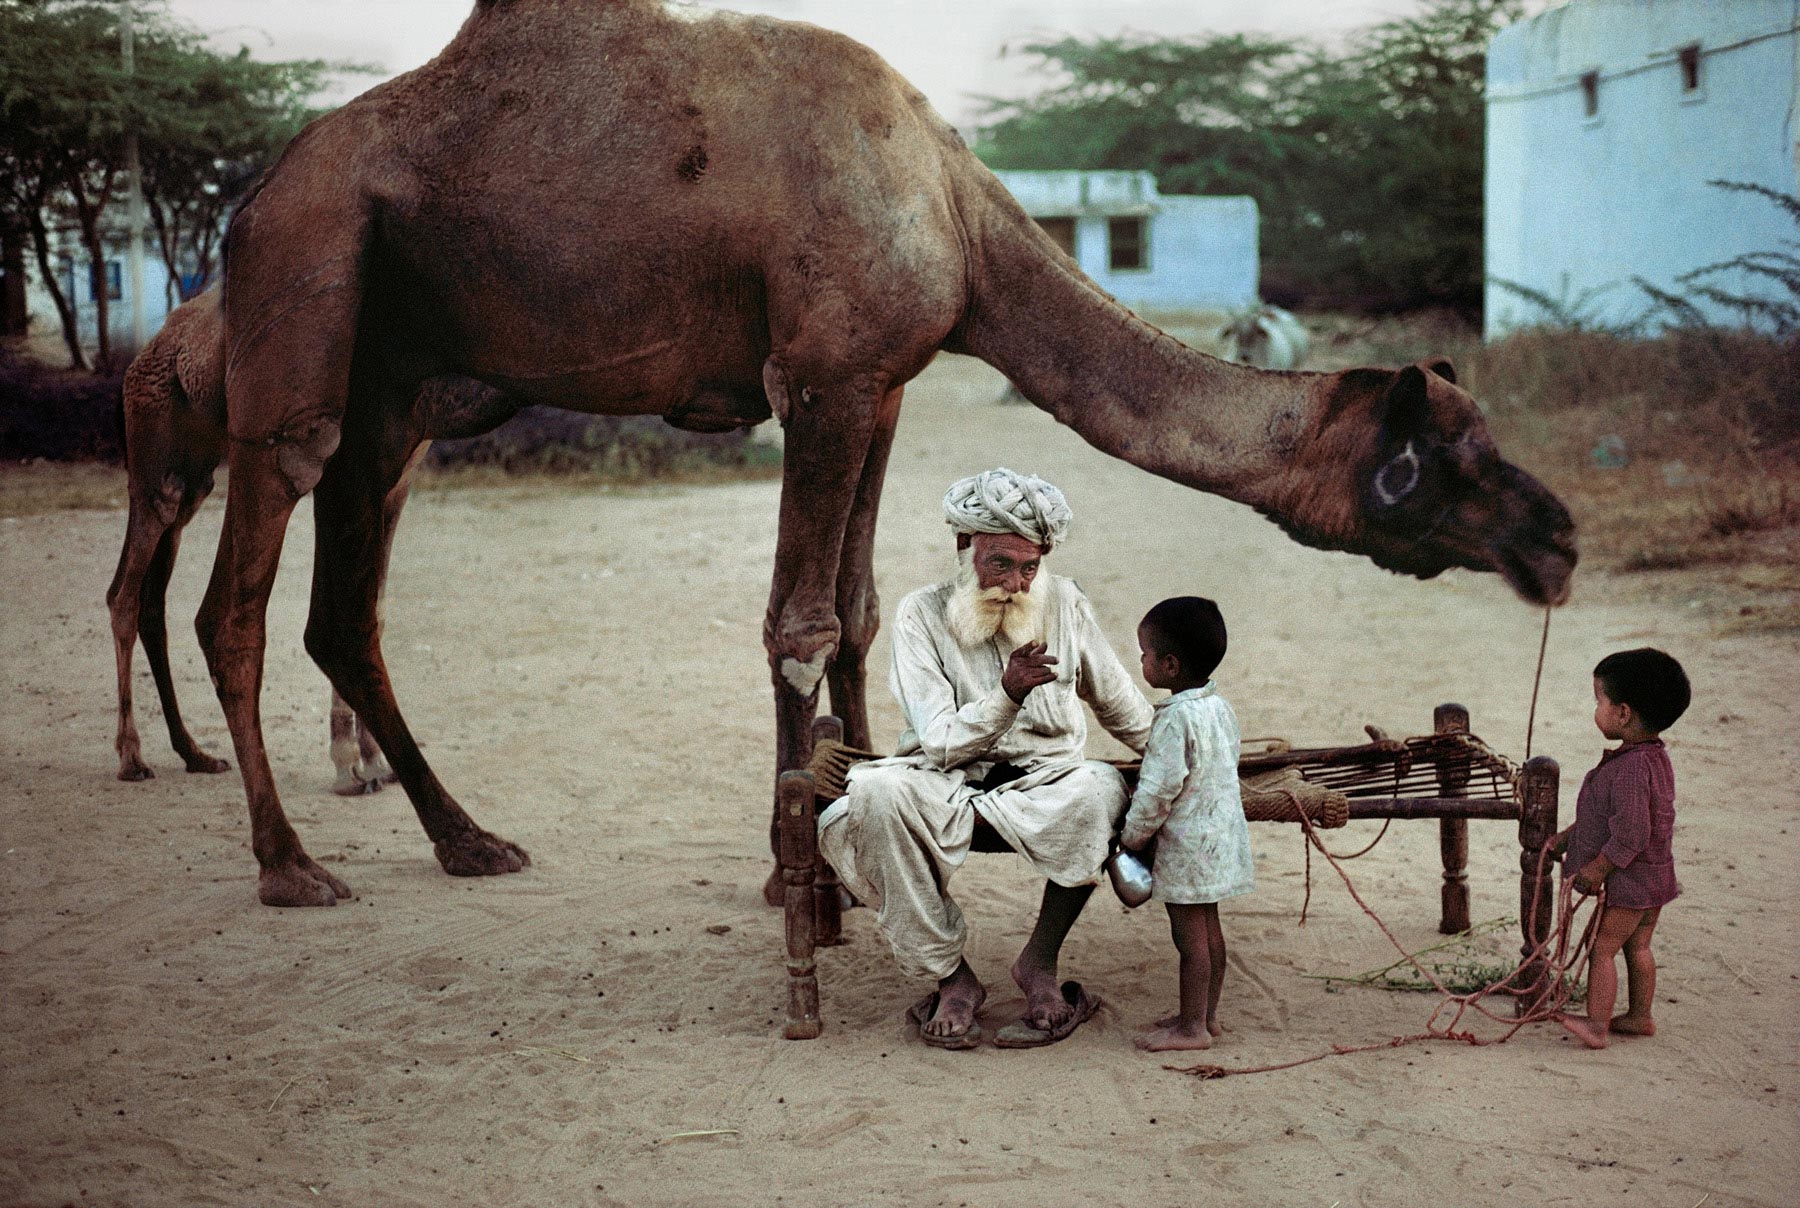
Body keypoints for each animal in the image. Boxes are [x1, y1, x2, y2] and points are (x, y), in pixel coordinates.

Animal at [105, 284, 518, 792]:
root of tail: (143, 354)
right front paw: (348, 765)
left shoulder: (399, 480)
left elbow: (375, 611)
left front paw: (374, 763)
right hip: (154, 459)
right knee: (124, 593)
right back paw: (132, 758)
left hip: (195, 474)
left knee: (153, 598)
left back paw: (196, 754)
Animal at [204, 0, 1569, 907]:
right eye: (1434, 461)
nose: (1557, 539)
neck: (957, 206)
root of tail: (255, 193)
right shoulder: (821, 375)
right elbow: (800, 622)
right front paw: (789, 869)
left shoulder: (886, 385)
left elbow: (861, 609)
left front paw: (857, 807)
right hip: (307, 287)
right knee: (245, 584)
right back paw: (289, 864)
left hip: (396, 389)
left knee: (344, 612)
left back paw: (468, 838)